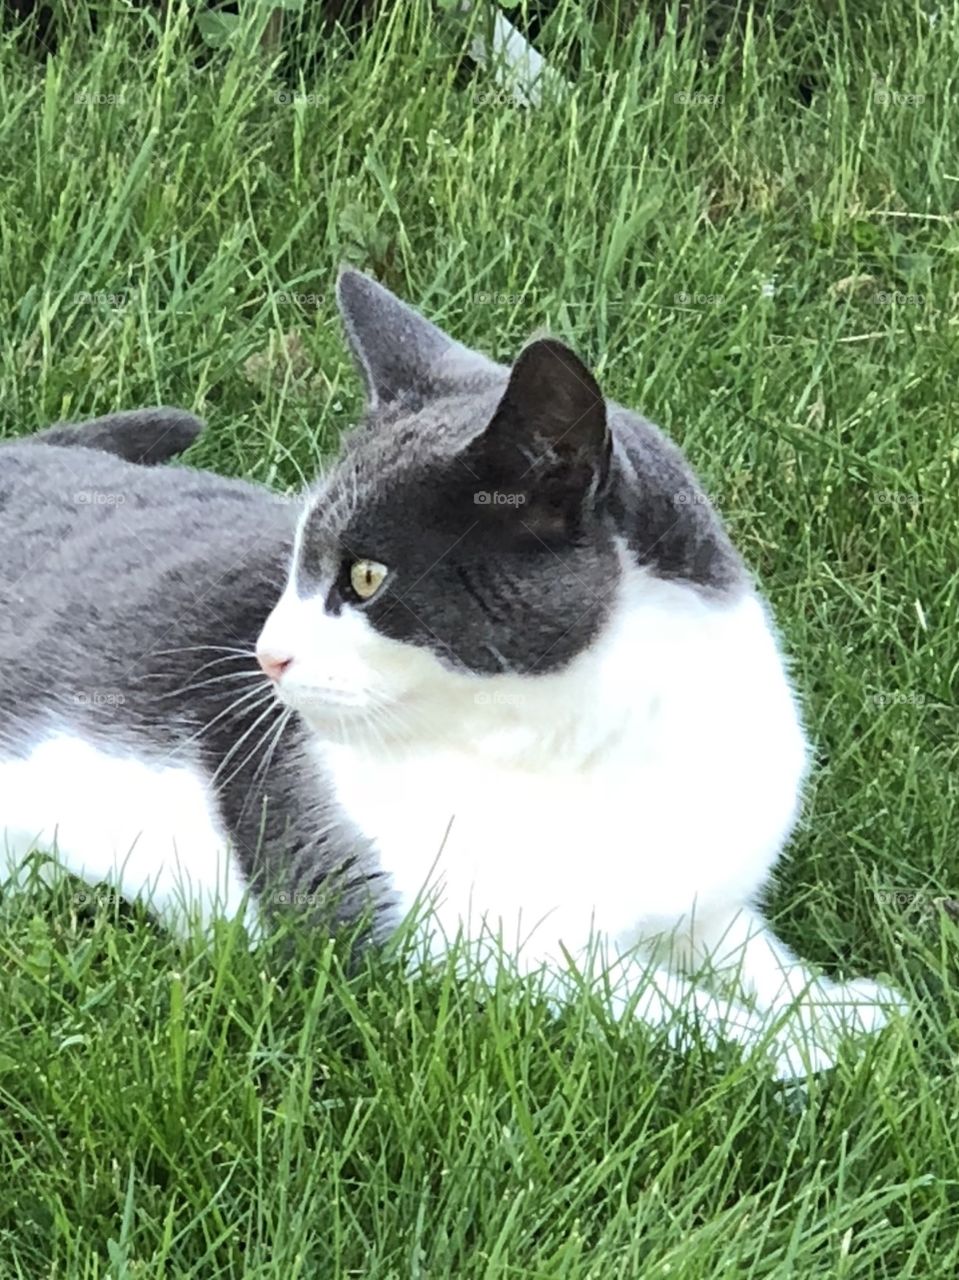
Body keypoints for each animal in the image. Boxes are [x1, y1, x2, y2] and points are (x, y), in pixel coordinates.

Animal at [0, 270, 906, 1080]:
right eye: (295, 564)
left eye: (366, 577)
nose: (266, 653)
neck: (588, 743)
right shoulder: (443, 942)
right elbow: (654, 1005)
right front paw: (805, 1052)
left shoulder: (703, 898)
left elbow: (748, 951)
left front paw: (842, 1007)